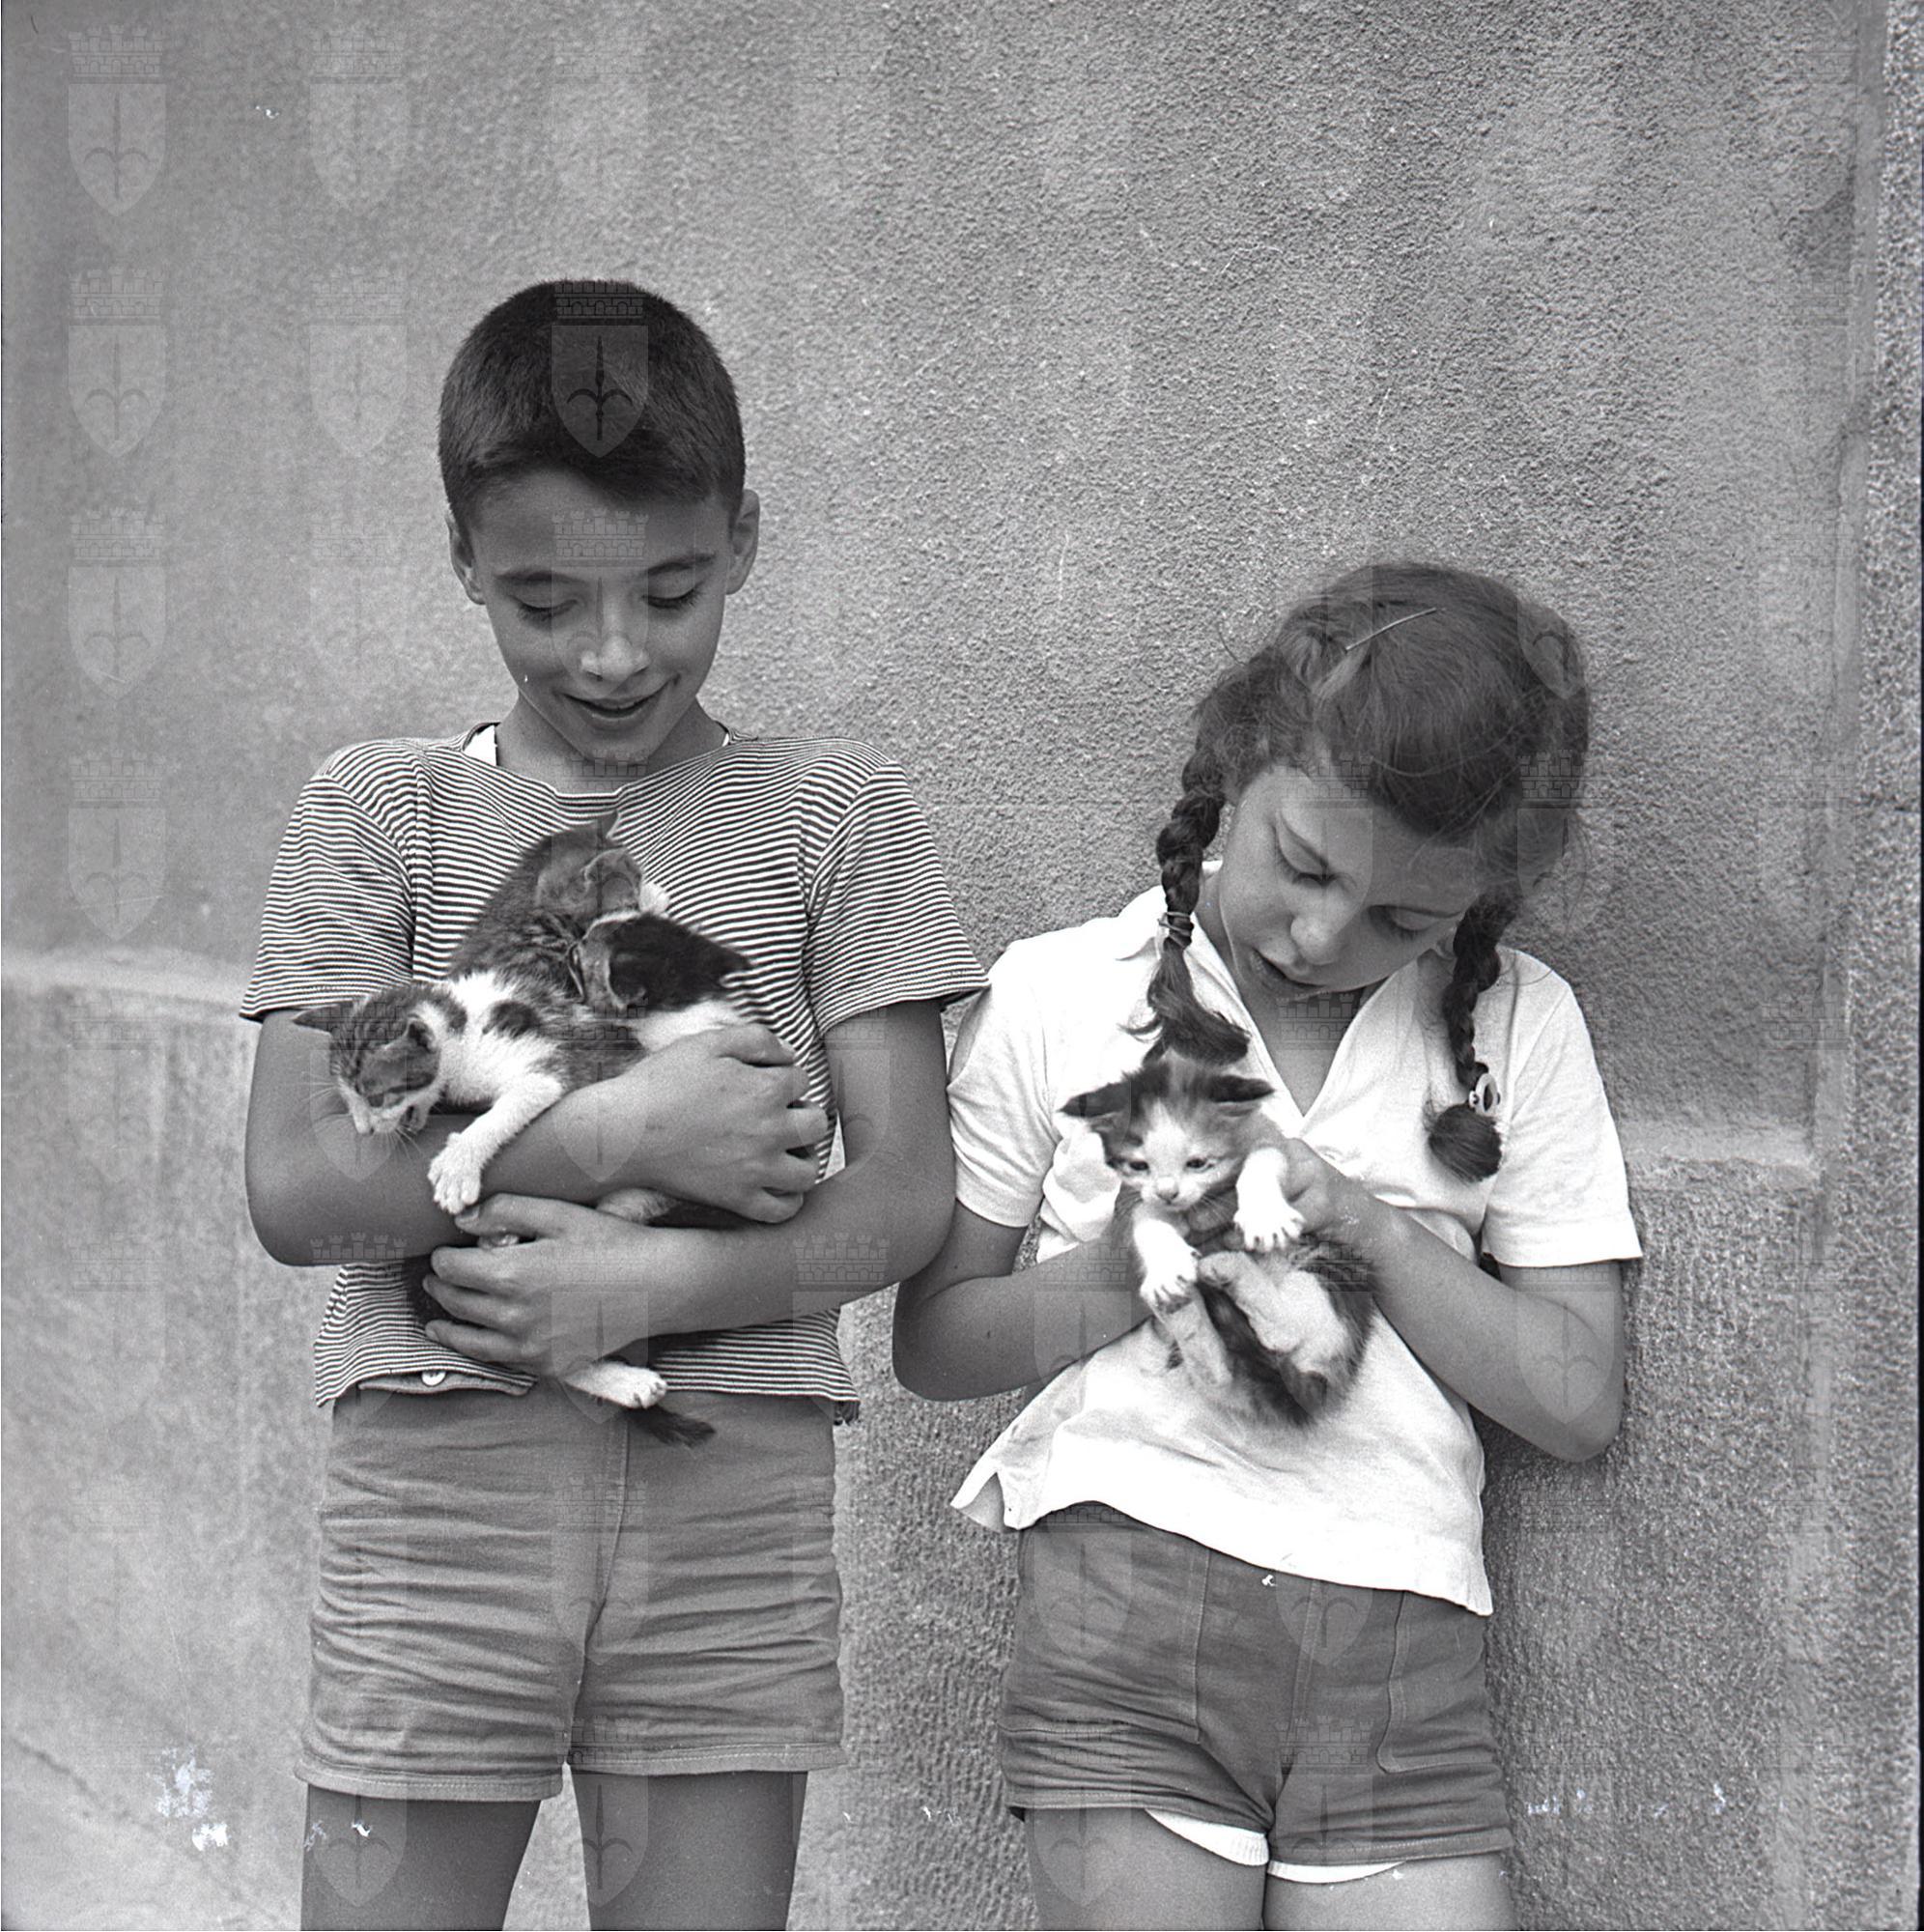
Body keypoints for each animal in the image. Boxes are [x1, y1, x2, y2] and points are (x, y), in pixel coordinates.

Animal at [1061, 1050, 1377, 1424]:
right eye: (1139, 1166)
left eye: (1197, 1163)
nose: (1169, 1192)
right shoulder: (1137, 1197)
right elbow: (1146, 1217)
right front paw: (1166, 1269)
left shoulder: (1269, 1137)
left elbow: (1264, 1159)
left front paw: (1264, 1217)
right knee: (1220, 1374)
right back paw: (1185, 1308)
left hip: (1332, 1264)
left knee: (1287, 1332)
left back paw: (1231, 1268)